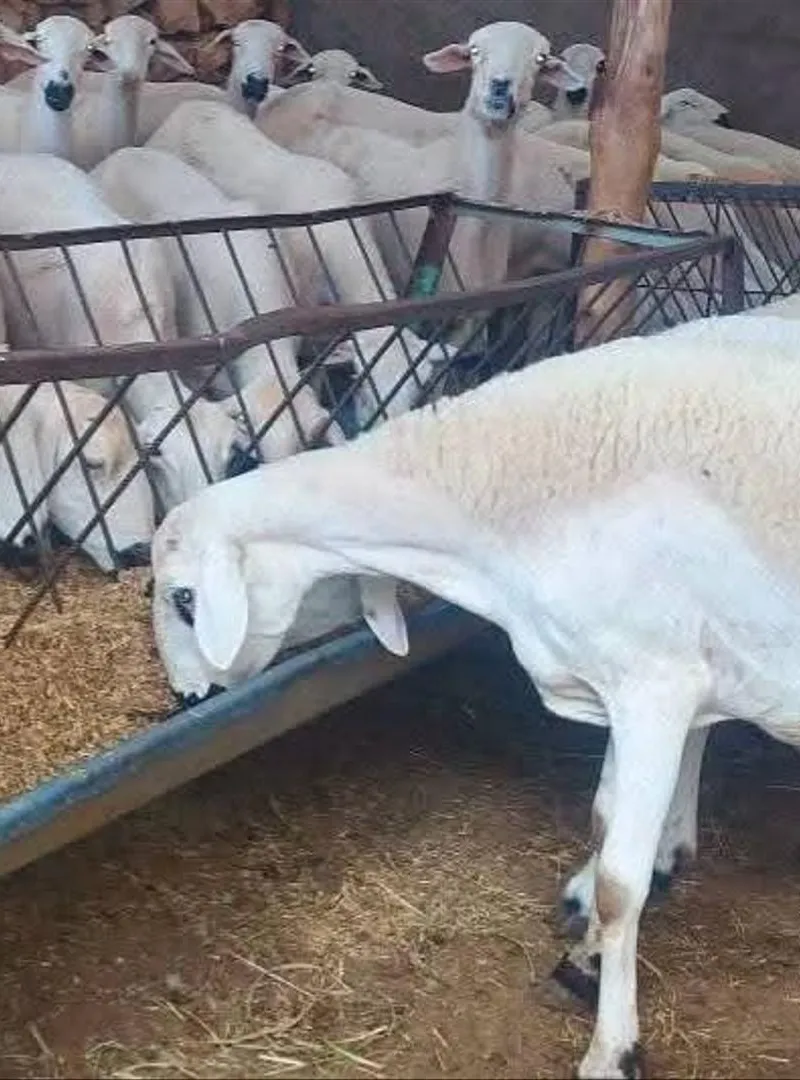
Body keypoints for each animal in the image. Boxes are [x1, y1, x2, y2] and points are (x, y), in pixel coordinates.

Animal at [152, 314, 800, 1078]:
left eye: (184, 598)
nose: (185, 697)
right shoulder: (622, 676)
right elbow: (603, 825)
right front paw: (584, 960)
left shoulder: (655, 685)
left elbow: (620, 885)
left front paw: (612, 1048)